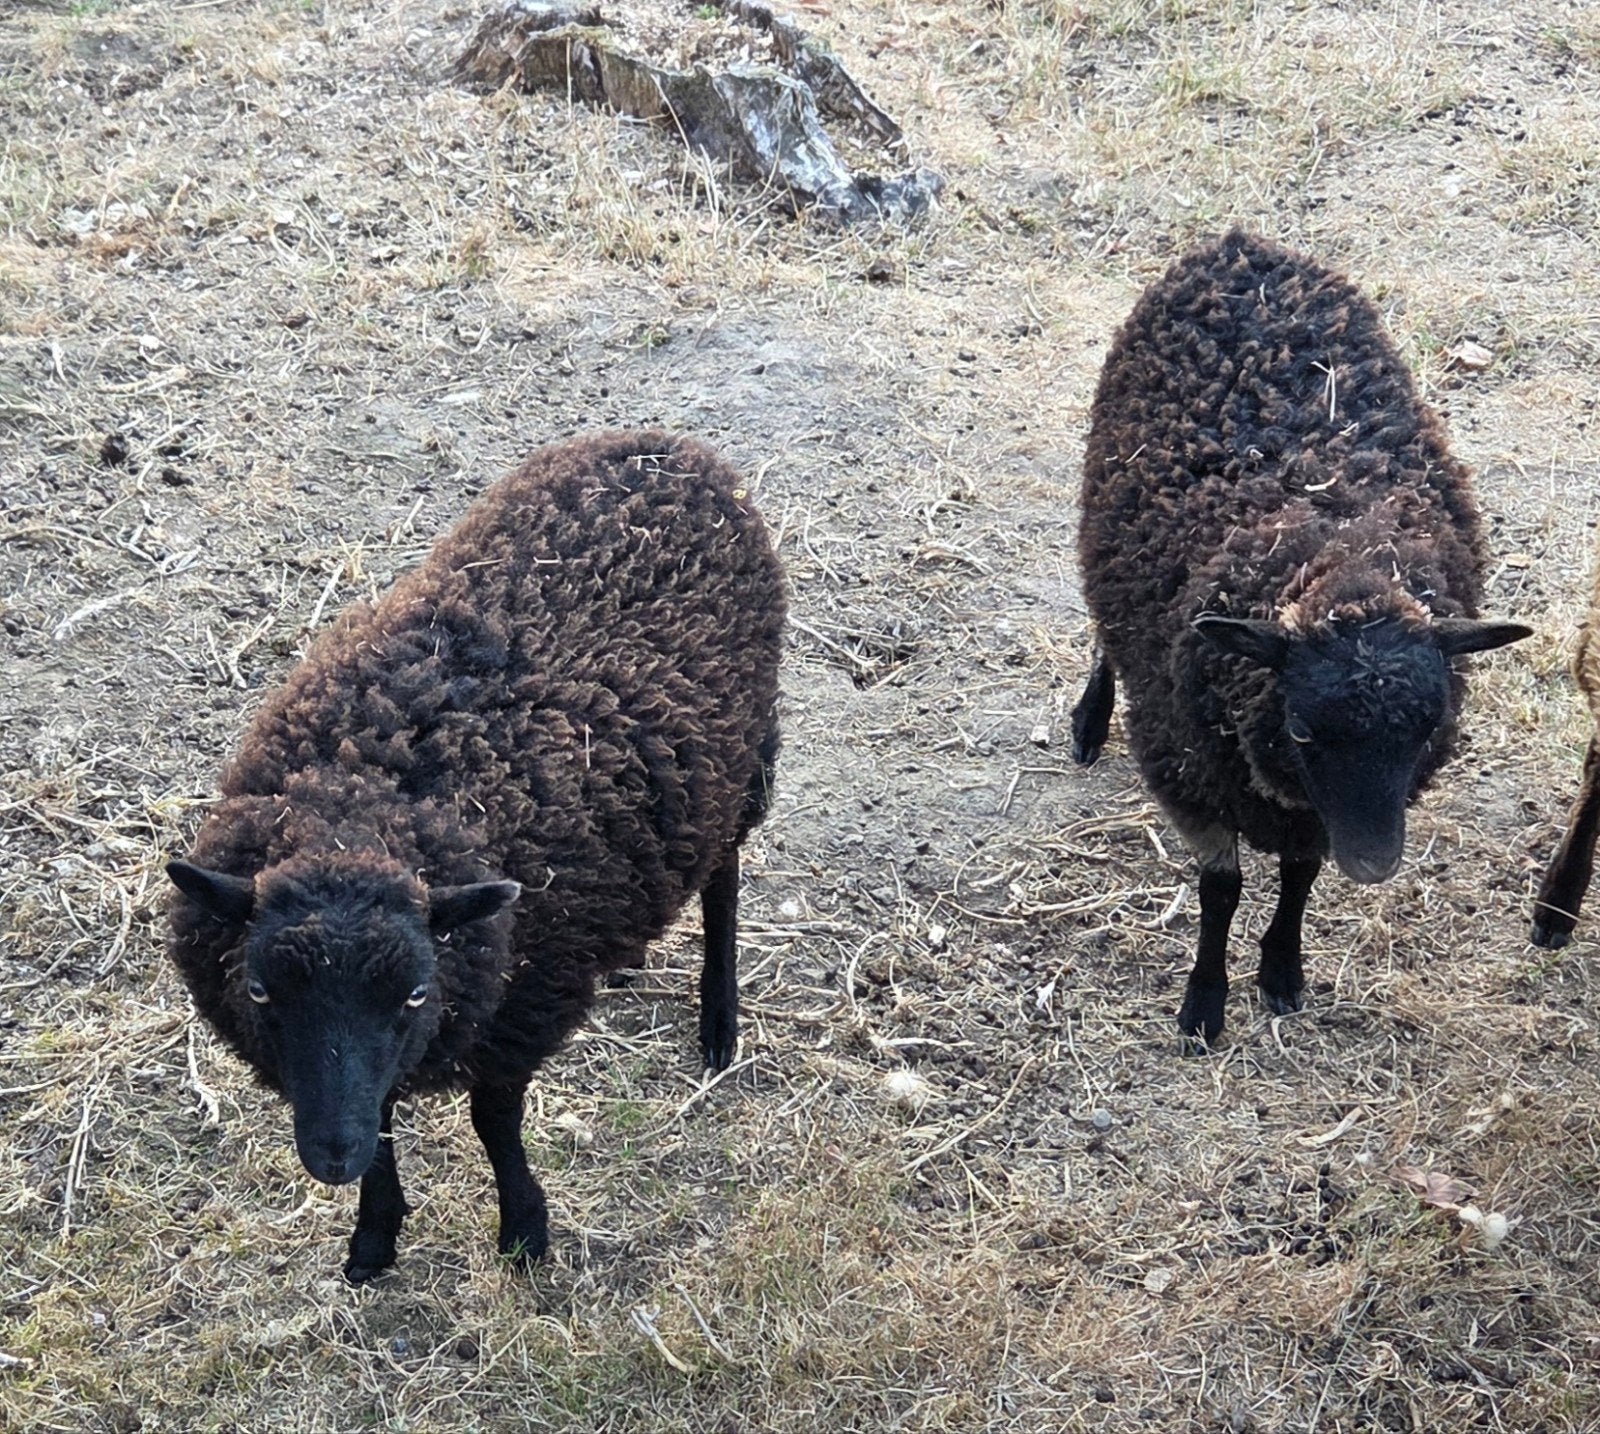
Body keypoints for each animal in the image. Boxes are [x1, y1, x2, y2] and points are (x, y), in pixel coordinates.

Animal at [166, 429, 786, 1280]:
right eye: (260, 992)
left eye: (414, 995)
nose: (331, 1158)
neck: (359, 813)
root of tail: (665, 445)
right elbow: (383, 1116)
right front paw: (375, 1233)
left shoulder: (519, 1005)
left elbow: (493, 1122)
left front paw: (524, 1229)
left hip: (740, 754)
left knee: (723, 873)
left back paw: (719, 1020)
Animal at [1071, 229, 1531, 1047]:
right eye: (1303, 730)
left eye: (1427, 727)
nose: (1375, 866)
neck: (1341, 566)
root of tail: (1237, 242)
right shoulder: (1191, 775)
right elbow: (1221, 890)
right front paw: (1204, 1001)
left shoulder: (1313, 813)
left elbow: (1300, 876)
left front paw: (1282, 970)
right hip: (1105, 519)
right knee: (1103, 628)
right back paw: (1091, 719)